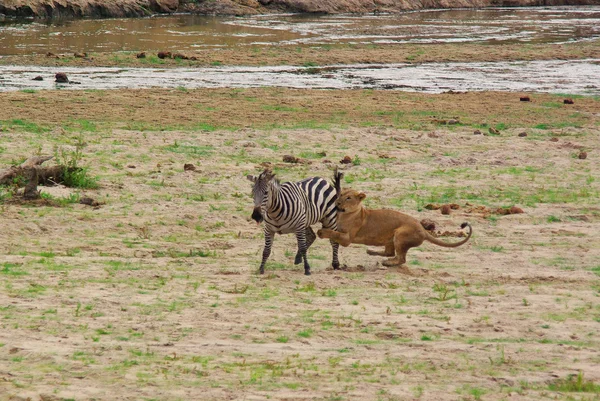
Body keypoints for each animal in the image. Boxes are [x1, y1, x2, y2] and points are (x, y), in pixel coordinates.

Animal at [316, 188, 472, 268]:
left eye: (348, 198)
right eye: (341, 194)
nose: (337, 202)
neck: (344, 214)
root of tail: (423, 229)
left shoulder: (347, 239)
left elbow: (333, 233)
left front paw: (321, 232)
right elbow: (334, 232)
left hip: (400, 234)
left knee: (401, 258)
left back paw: (388, 262)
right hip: (390, 238)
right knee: (390, 252)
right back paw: (372, 251)